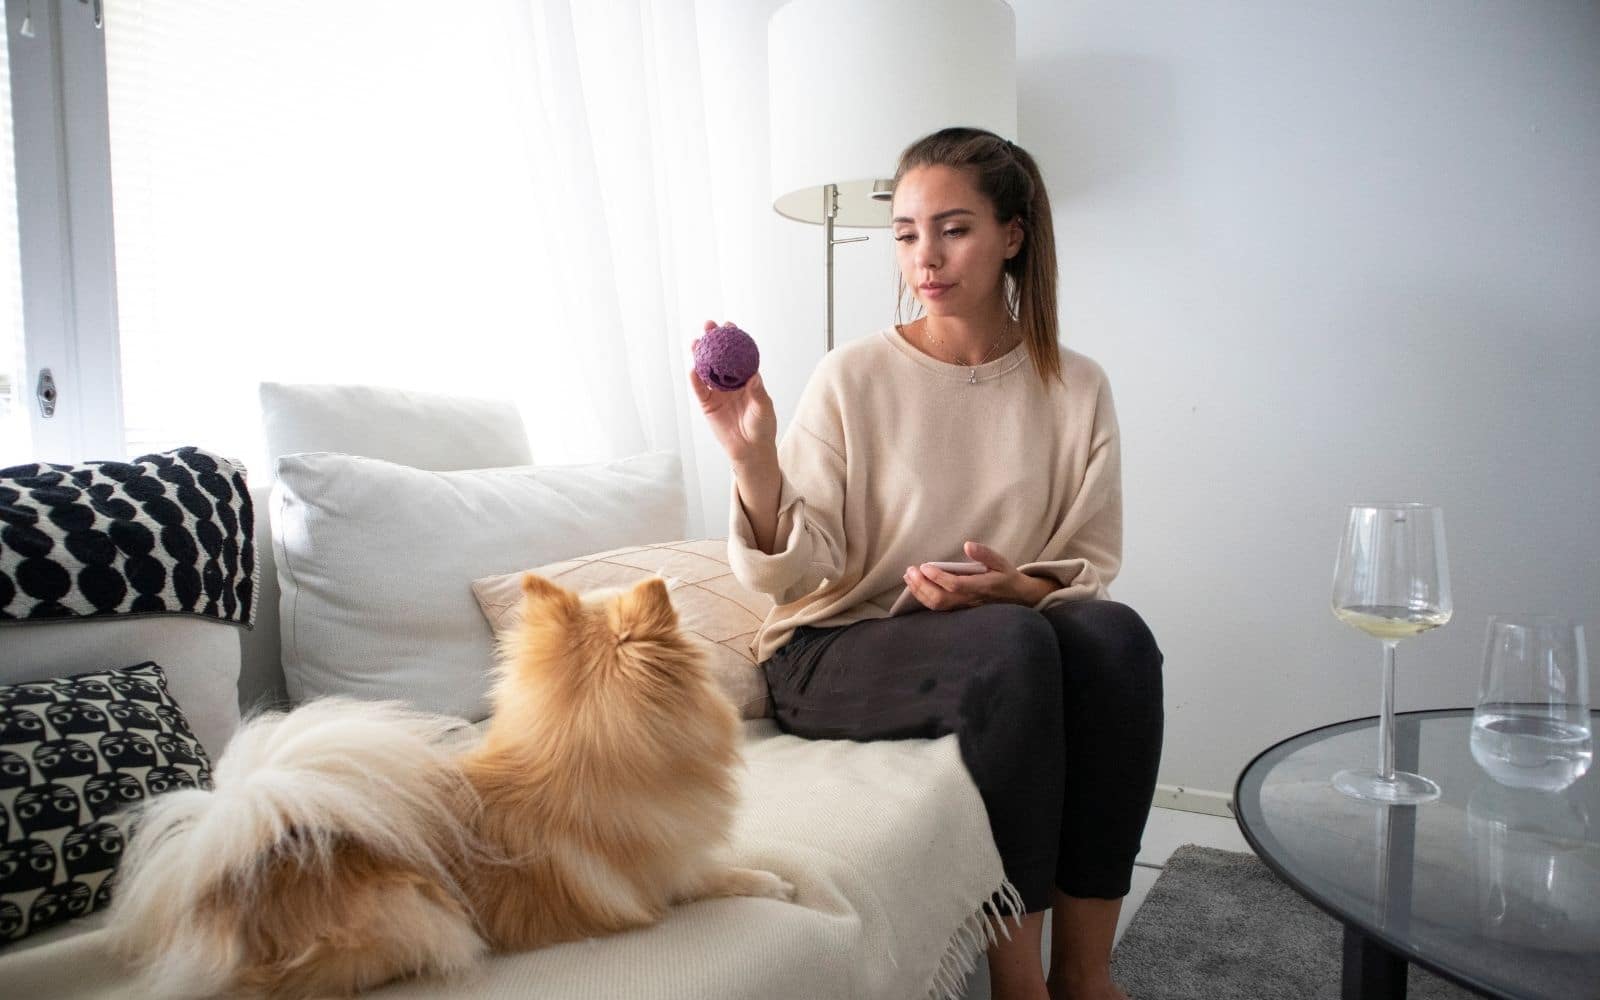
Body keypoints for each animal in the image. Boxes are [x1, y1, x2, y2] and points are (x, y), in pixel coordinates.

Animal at [106, 572, 793, 992]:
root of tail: (223, 875)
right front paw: (775, 882)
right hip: (417, 915)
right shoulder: (673, 878)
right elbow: (726, 874)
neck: (584, 749)